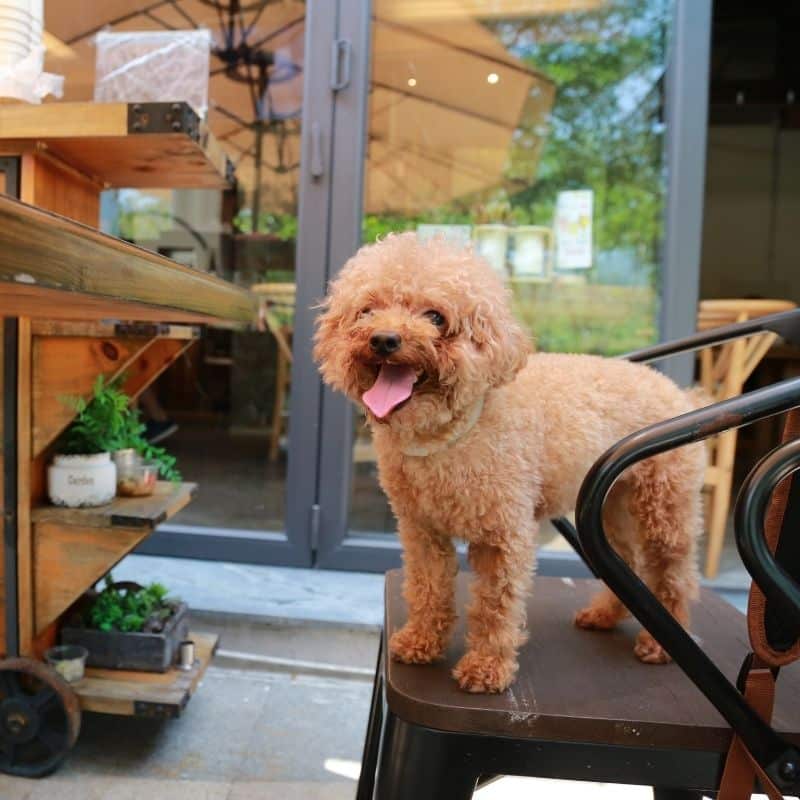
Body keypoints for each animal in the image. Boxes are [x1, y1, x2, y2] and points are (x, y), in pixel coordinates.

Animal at [316, 233, 704, 692]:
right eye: (368, 310)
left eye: (435, 316)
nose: (383, 340)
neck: (447, 435)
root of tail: (677, 391)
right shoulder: (422, 529)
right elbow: (428, 587)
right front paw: (421, 642)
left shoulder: (502, 535)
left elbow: (494, 606)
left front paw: (486, 667)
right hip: (612, 507)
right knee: (628, 561)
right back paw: (603, 615)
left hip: (664, 506)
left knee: (672, 572)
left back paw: (661, 644)